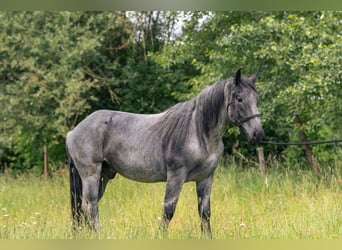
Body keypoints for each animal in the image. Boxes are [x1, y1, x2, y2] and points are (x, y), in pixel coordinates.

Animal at [67, 69, 264, 238]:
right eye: (239, 98)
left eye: (256, 99)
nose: (258, 134)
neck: (197, 130)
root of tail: (73, 132)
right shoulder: (176, 176)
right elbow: (168, 211)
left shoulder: (205, 178)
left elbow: (205, 212)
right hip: (91, 175)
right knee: (90, 206)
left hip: (104, 176)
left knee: (84, 208)